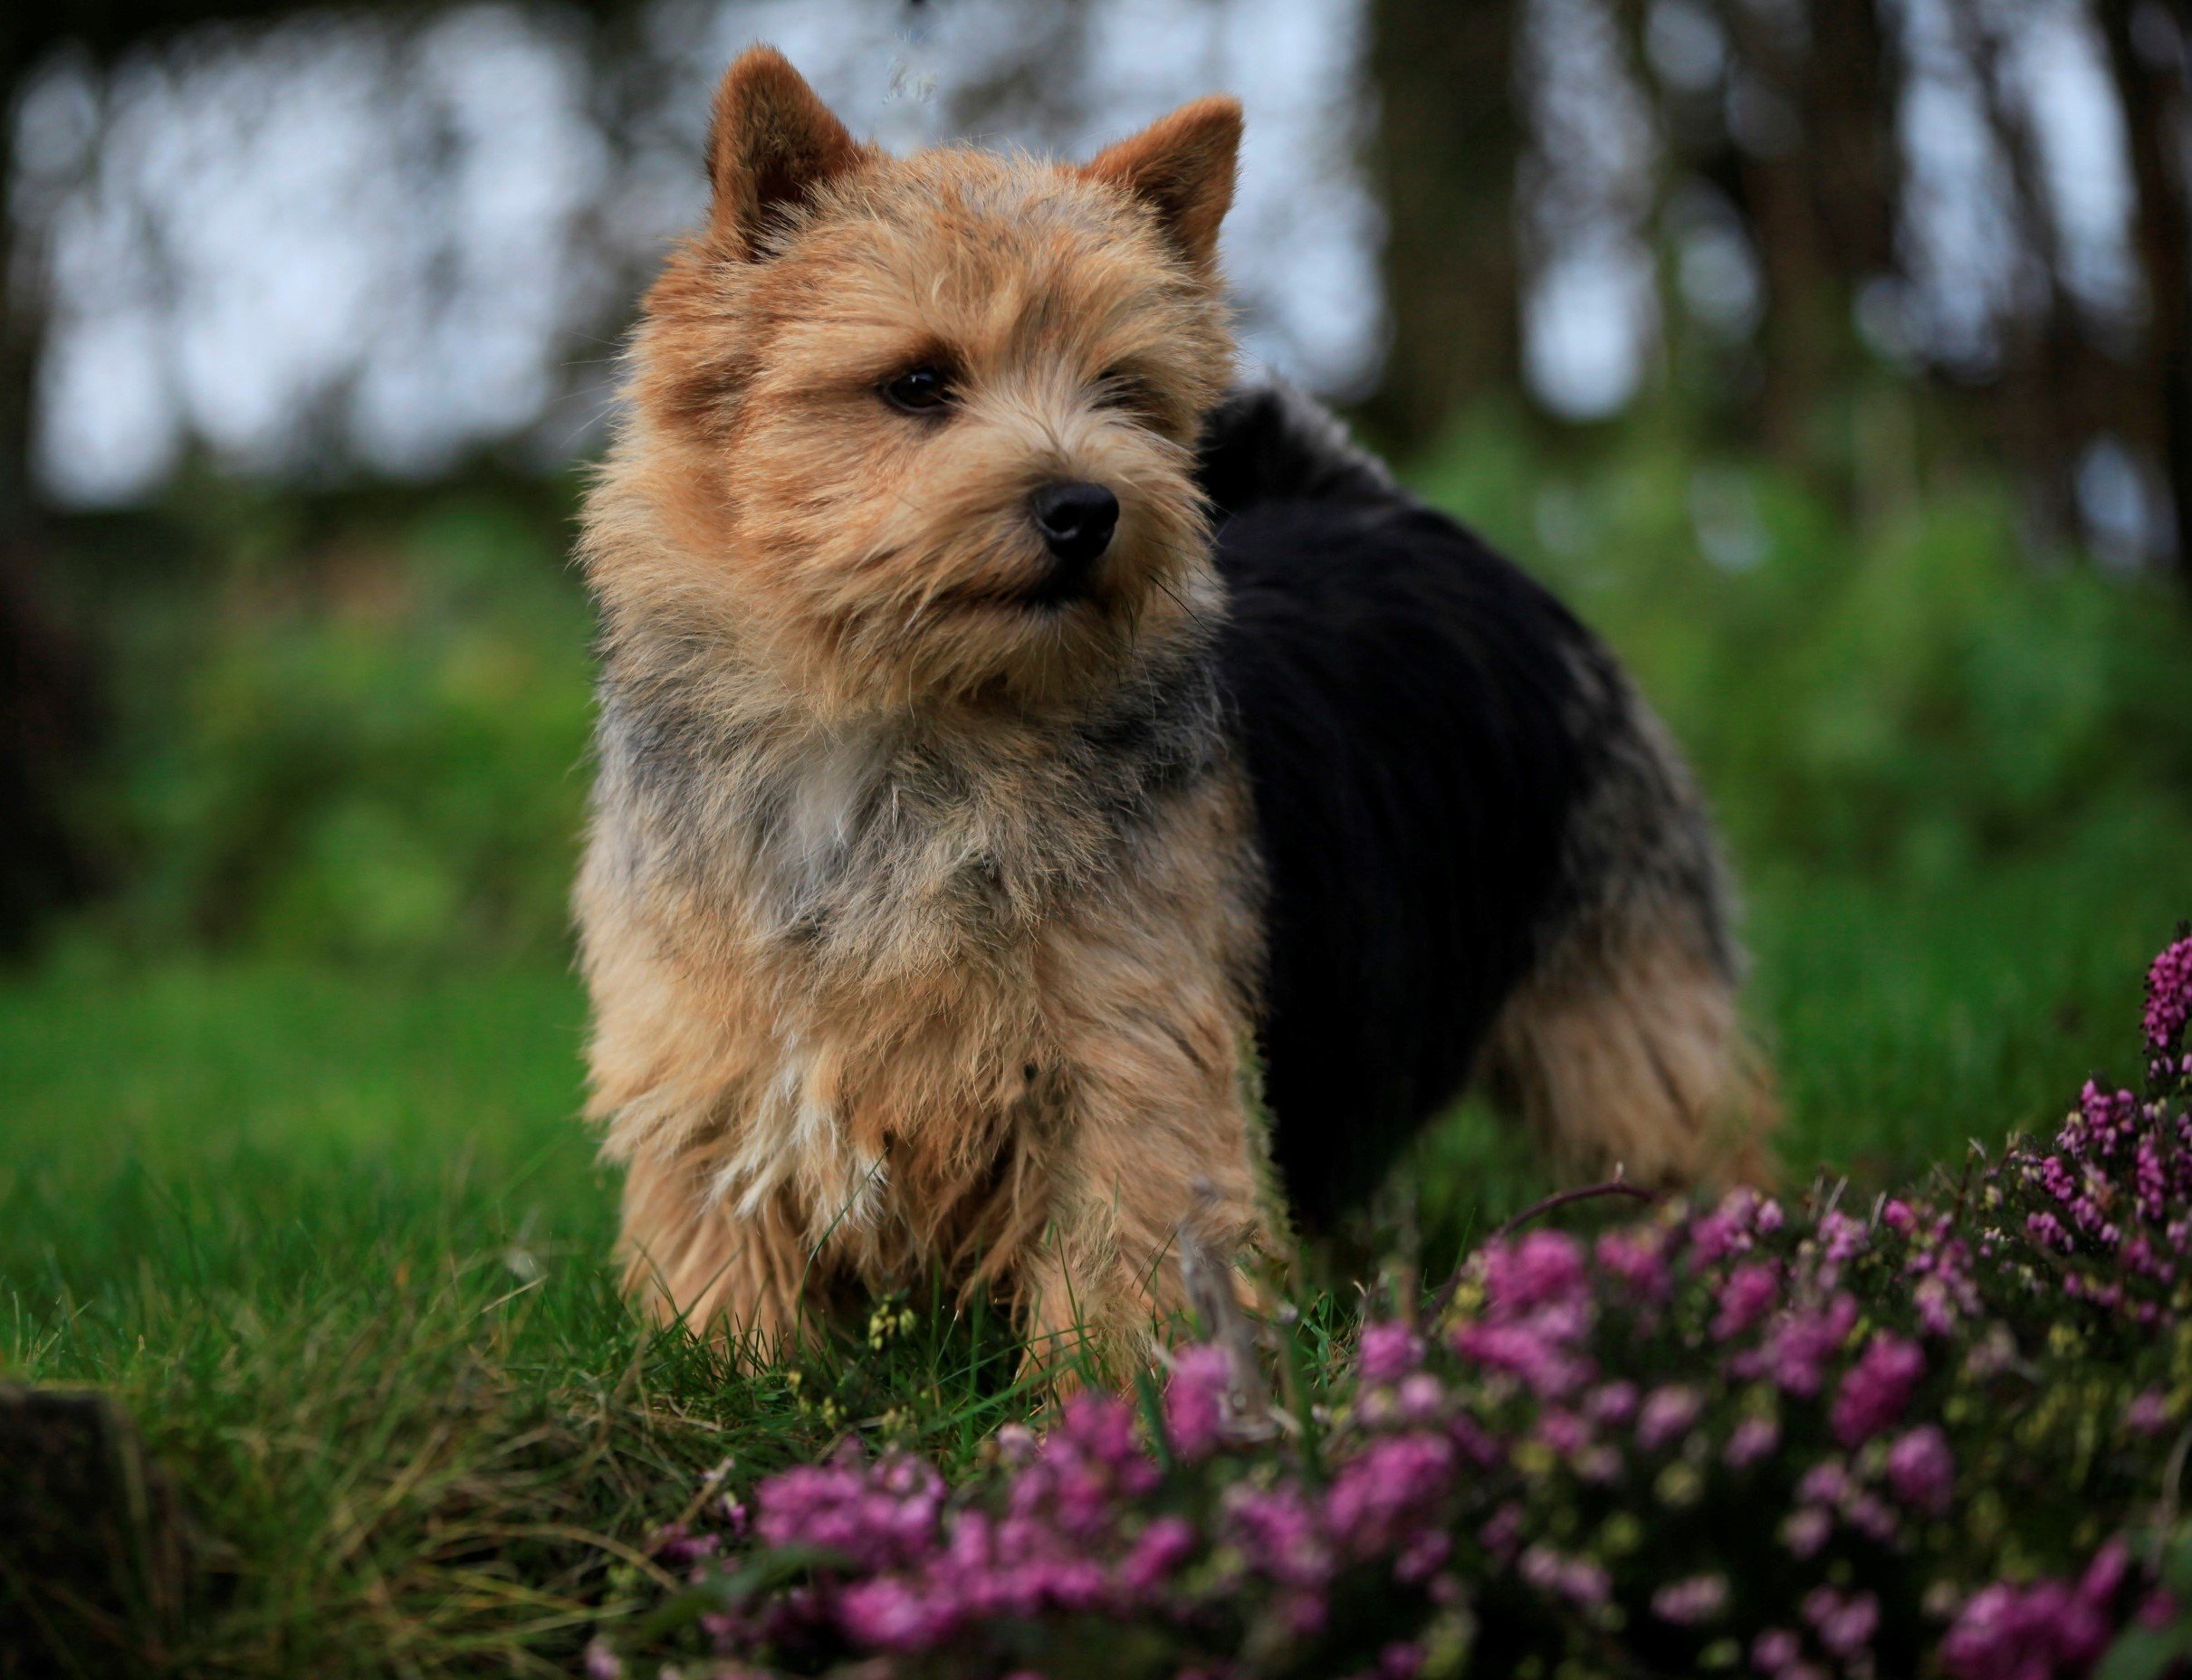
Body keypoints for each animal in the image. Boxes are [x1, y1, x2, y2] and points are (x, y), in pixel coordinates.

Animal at [574, 45, 1771, 1375]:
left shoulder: (1128, 1051)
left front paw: (1118, 1395)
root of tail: (1375, 503)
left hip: (1615, 969)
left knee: (1674, 1106)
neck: (905, 727)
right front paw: (734, 1368)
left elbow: (1127, 1246)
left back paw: (1720, 1258)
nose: (1086, 506)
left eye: (1121, 388)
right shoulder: (713, 1048)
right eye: (917, 384)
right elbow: (722, 1239)